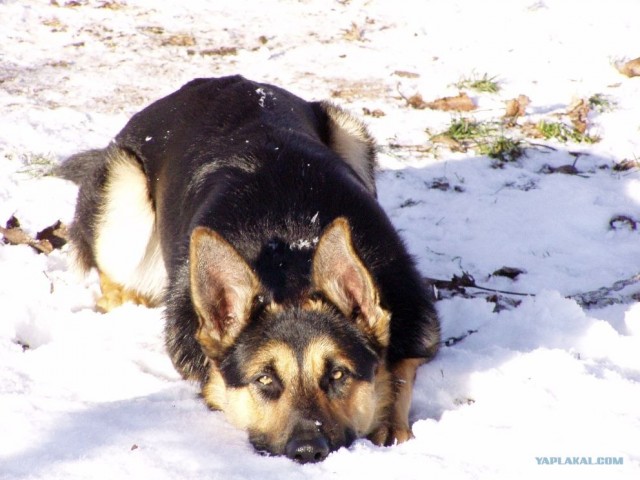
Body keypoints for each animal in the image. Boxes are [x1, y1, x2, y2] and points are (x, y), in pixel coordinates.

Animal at [58, 77, 440, 464]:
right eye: (265, 381)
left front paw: (389, 420)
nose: (307, 451)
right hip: (123, 190)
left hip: (350, 133)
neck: (293, 248)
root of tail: (213, 82)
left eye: (337, 374)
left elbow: (402, 369)